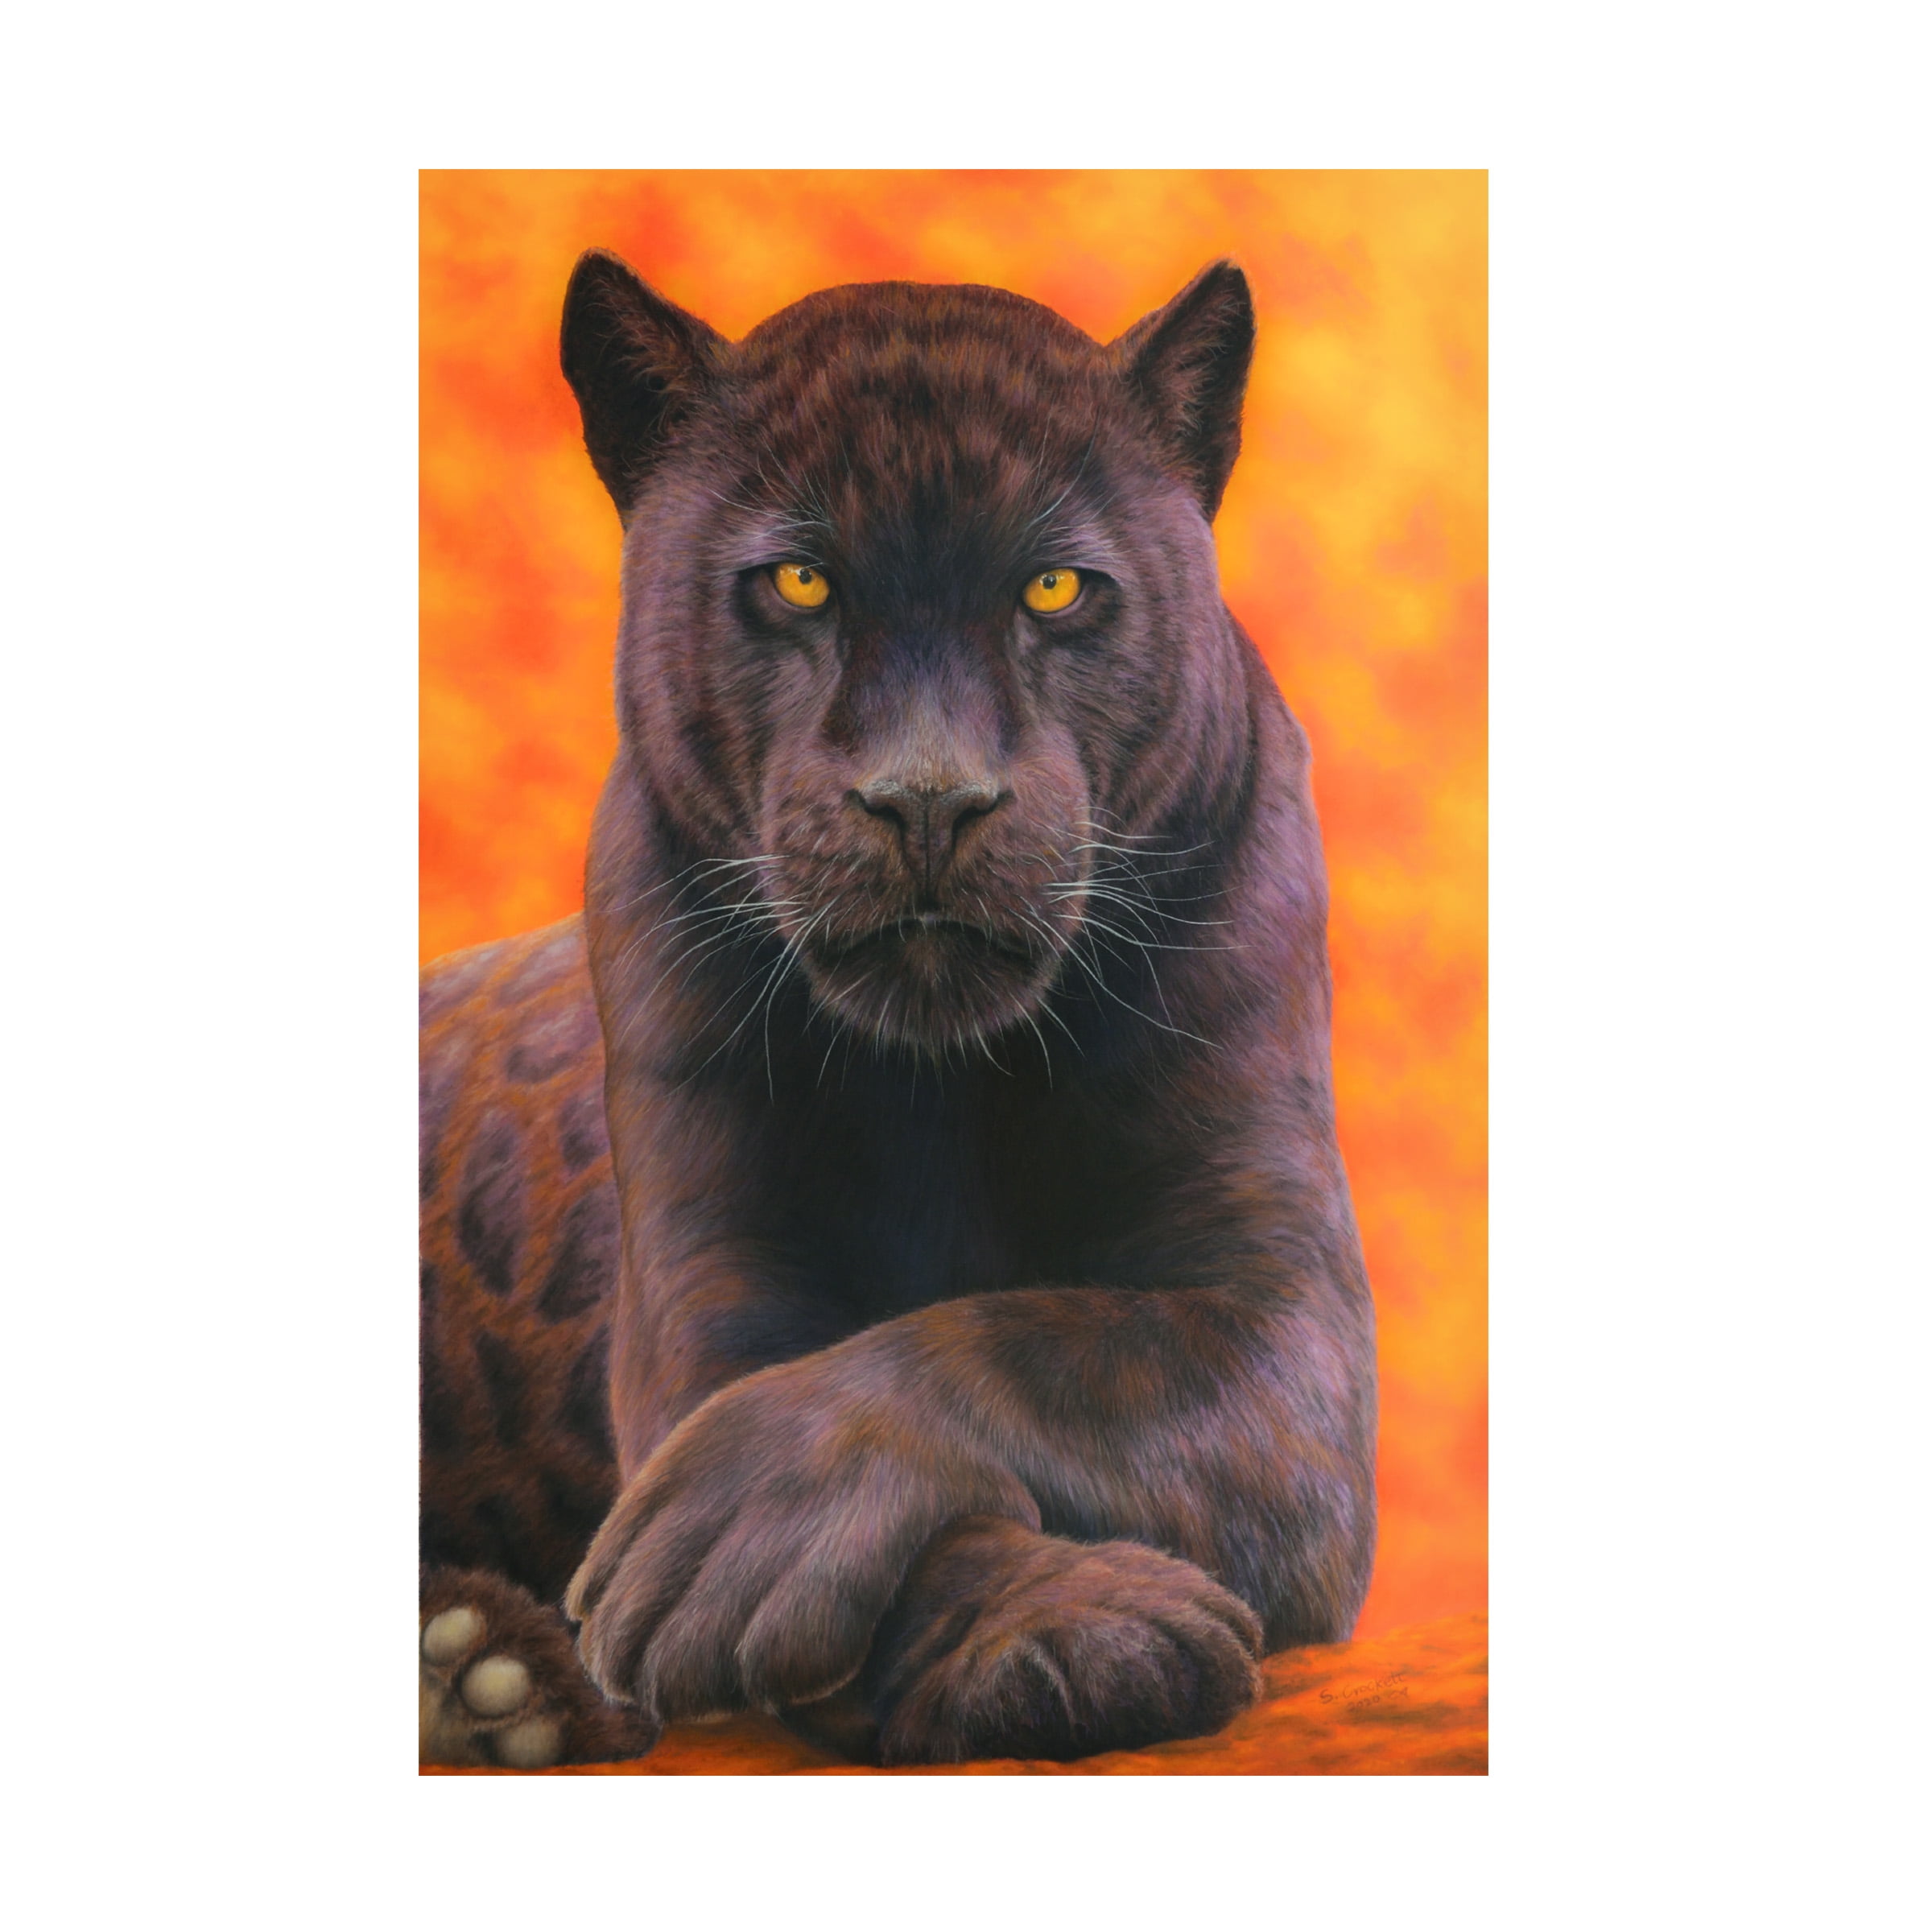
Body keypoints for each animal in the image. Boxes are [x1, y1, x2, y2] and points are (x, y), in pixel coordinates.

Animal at [418, 248, 1378, 1770]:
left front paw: (737, 1534)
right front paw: (1076, 1631)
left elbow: (1028, 1343)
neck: (943, 1084)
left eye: (1055, 587)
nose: (929, 798)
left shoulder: (1284, 1316)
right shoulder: (710, 1285)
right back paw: (483, 1680)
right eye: (800, 581)